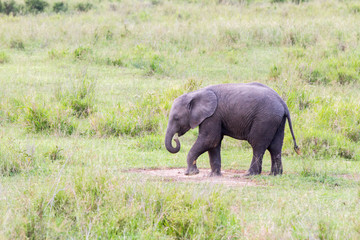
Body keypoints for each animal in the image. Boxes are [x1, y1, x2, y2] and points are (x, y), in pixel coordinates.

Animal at [165, 82, 300, 176]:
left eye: (176, 118)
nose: (176, 139)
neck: (195, 94)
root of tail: (283, 103)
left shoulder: (212, 116)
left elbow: (210, 140)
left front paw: (190, 174)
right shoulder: (215, 117)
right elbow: (214, 143)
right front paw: (213, 175)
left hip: (265, 119)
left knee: (258, 145)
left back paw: (249, 174)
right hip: (277, 120)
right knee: (275, 147)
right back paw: (274, 175)